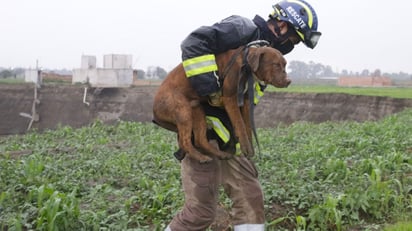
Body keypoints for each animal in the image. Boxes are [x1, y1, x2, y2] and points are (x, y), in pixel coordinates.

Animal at [151, 44, 290, 162]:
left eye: (285, 65)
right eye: (276, 64)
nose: (289, 81)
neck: (245, 65)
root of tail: (154, 109)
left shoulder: (245, 101)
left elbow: (248, 126)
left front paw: (250, 149)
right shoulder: (230, 99)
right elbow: (240, 124)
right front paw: (245, 148)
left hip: (197, 110)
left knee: (200, 140)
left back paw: (219, 155)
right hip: (182, 111)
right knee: (185, 141)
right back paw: (201, 157)